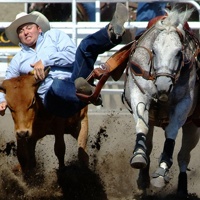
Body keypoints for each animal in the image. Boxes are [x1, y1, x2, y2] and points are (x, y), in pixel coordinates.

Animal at [123, 8, 200, 195]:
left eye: (179, 52)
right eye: (154, 51)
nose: (164, 85)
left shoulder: (183, 105)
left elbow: (172, 133)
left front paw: (161, 170)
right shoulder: (139, 94)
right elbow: (141, 126)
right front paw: (138, 156)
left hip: (193, 127)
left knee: (183, 157)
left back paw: (182, 190)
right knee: (150, 145)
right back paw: (143, 179)